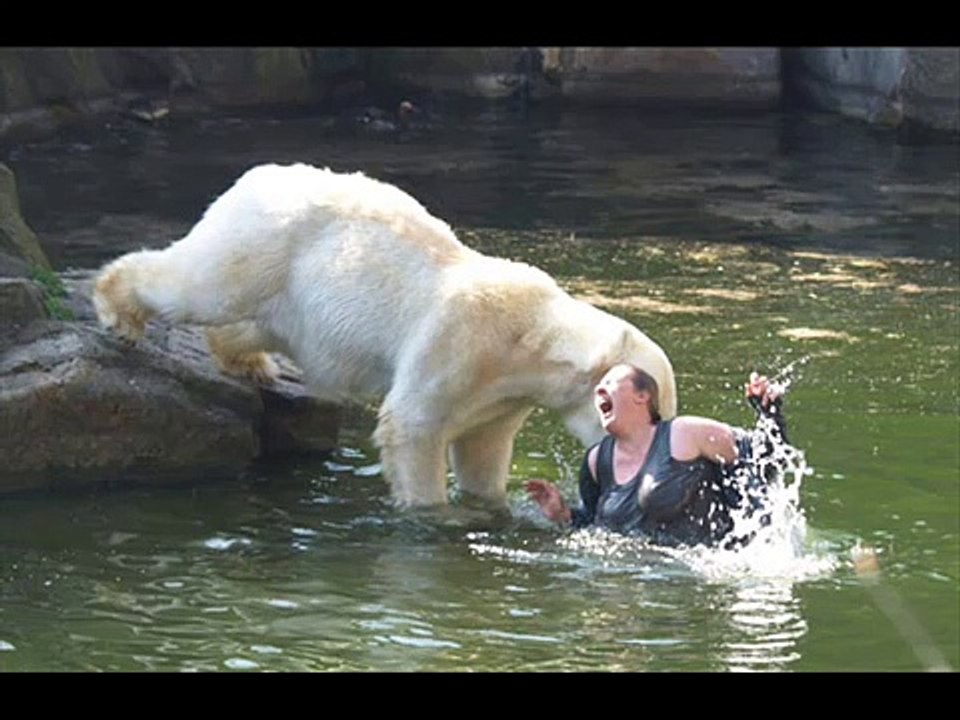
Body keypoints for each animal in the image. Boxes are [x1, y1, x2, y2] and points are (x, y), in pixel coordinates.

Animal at [93, 163, 677, 509]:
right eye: (655, 409)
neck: (531, 337)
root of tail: (255, 176)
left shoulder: (502, 397)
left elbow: (482, 448)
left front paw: (489, 506)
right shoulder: (460, 342)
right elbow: (413, 424)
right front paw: (431, 513)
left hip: (292, 290)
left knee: (254, 321)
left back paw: (249, 362)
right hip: (265, 241)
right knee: (201, 284)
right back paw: (118, 310)